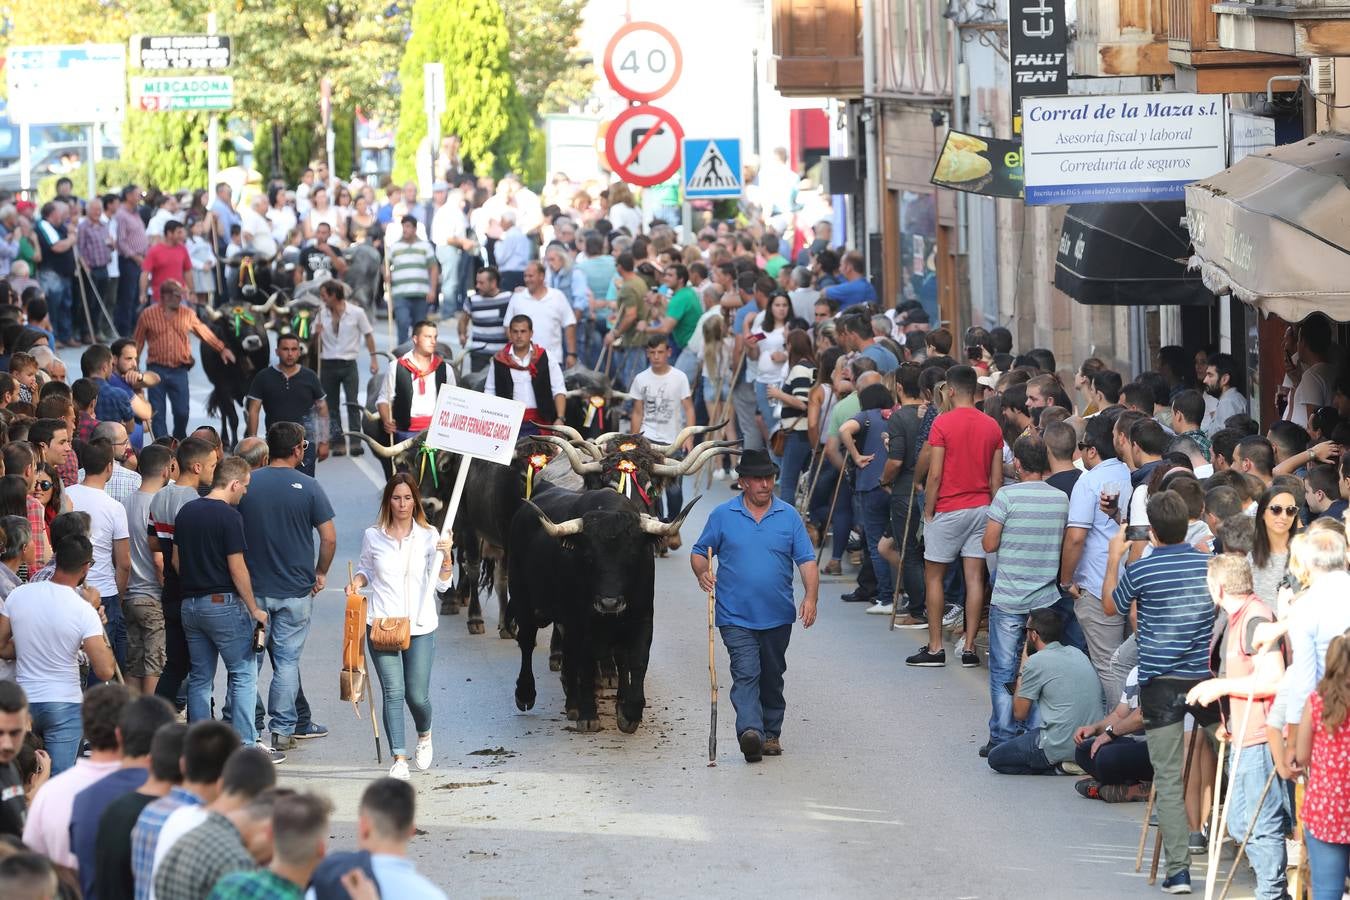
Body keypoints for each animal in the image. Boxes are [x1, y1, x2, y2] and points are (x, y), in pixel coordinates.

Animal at [507, 485, 696, 734]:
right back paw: (526, 694)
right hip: (523, 600)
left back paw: (573, 704)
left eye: (632, 556)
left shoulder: (642, 620)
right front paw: (589, 715)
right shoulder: (582, 625)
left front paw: (629, 712)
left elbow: (635, 661)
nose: (609, 603)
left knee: (570, 654)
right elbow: (587, 665)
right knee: (528, 643)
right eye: (589, 558)